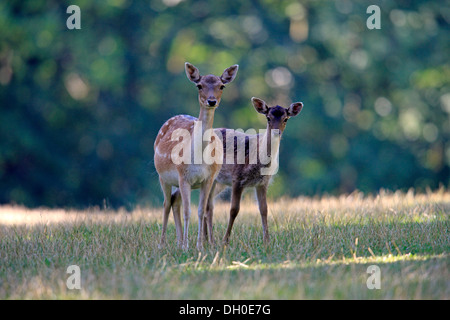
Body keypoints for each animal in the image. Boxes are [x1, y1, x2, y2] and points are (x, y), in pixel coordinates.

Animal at [154, 61, 239, 249]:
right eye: (199, 85)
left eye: (222, 85)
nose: (211, 101)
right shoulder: (183, 176)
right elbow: (188, 211)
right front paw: (187, 246)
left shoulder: (208, 179)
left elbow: (200, 211)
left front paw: (199, 245)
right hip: (163, 177)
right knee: (166, 204)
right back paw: (162, 243)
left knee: (174, 202)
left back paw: (178, 241)